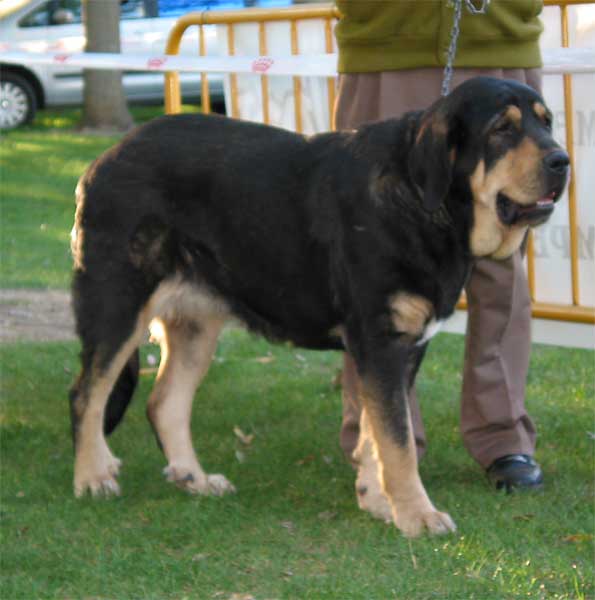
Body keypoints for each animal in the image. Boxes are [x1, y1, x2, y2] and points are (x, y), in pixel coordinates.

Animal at [68, 77, 568, 536]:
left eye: (546, 123)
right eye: (502, 129)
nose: (561, 161)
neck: (423, 203)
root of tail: (102, 161)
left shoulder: (401, 347)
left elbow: (376, 434)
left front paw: (378, 501)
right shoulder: (380, 343)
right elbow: (399, 441)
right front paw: (418, 515)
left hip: (196, 325)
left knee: (164, 403)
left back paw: (194, 479)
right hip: (118, 305)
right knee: (87, 395)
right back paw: (92, 477)